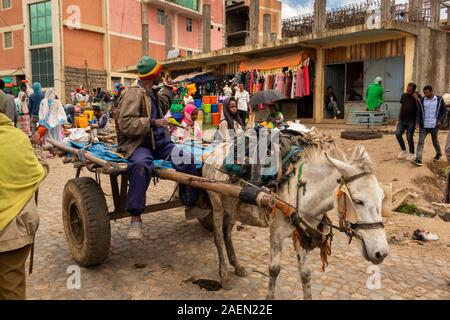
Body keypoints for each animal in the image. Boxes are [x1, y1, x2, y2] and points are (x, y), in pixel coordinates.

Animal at [202, 141, 388, 298]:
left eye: (381, 197)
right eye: (358, 201)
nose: (381, 253)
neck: (300, 194)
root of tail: (212, 152)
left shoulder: (301, 232)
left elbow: (305, 274)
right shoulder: (276, 234)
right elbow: (274, 270)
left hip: (231, 208)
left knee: (227, 232)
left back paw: (237, 266)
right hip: (217, 205)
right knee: (218, 237)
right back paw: (224, 276)